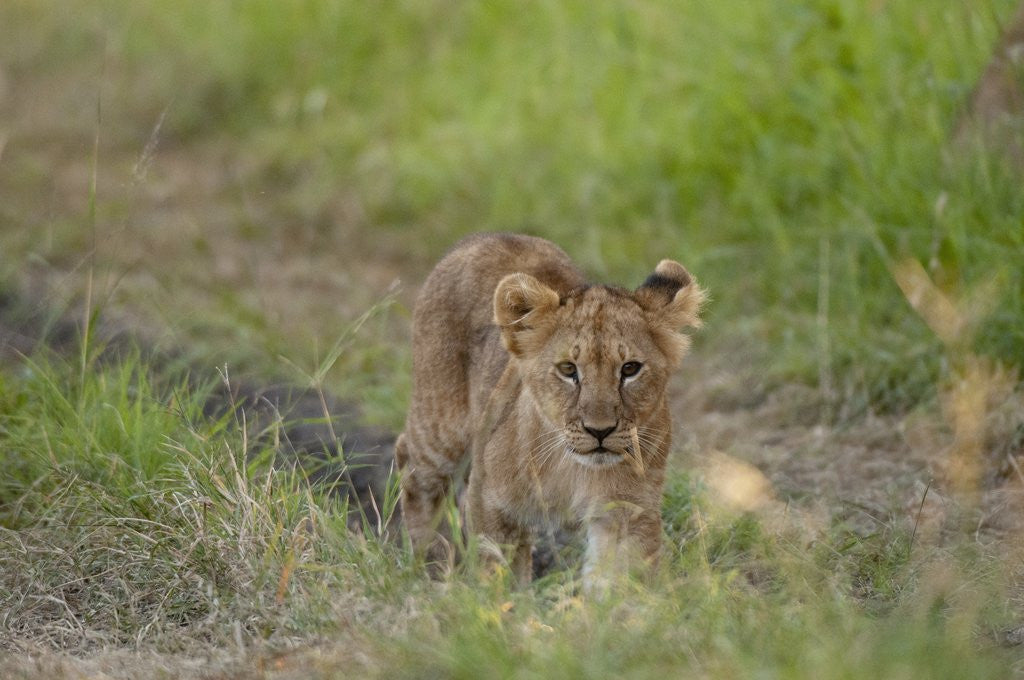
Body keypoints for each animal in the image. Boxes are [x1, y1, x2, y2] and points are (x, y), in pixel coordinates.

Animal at [395, 233, 704, 588]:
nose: (600, 431)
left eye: (630, 369)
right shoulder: (490, 500)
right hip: (442, 426)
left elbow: (620, 578)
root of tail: (487, 236)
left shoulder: (628, 510)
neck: (573, 468)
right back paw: (428, 565)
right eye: (568, 369)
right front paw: (499, 601)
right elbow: (496, 570)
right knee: (412, 466)